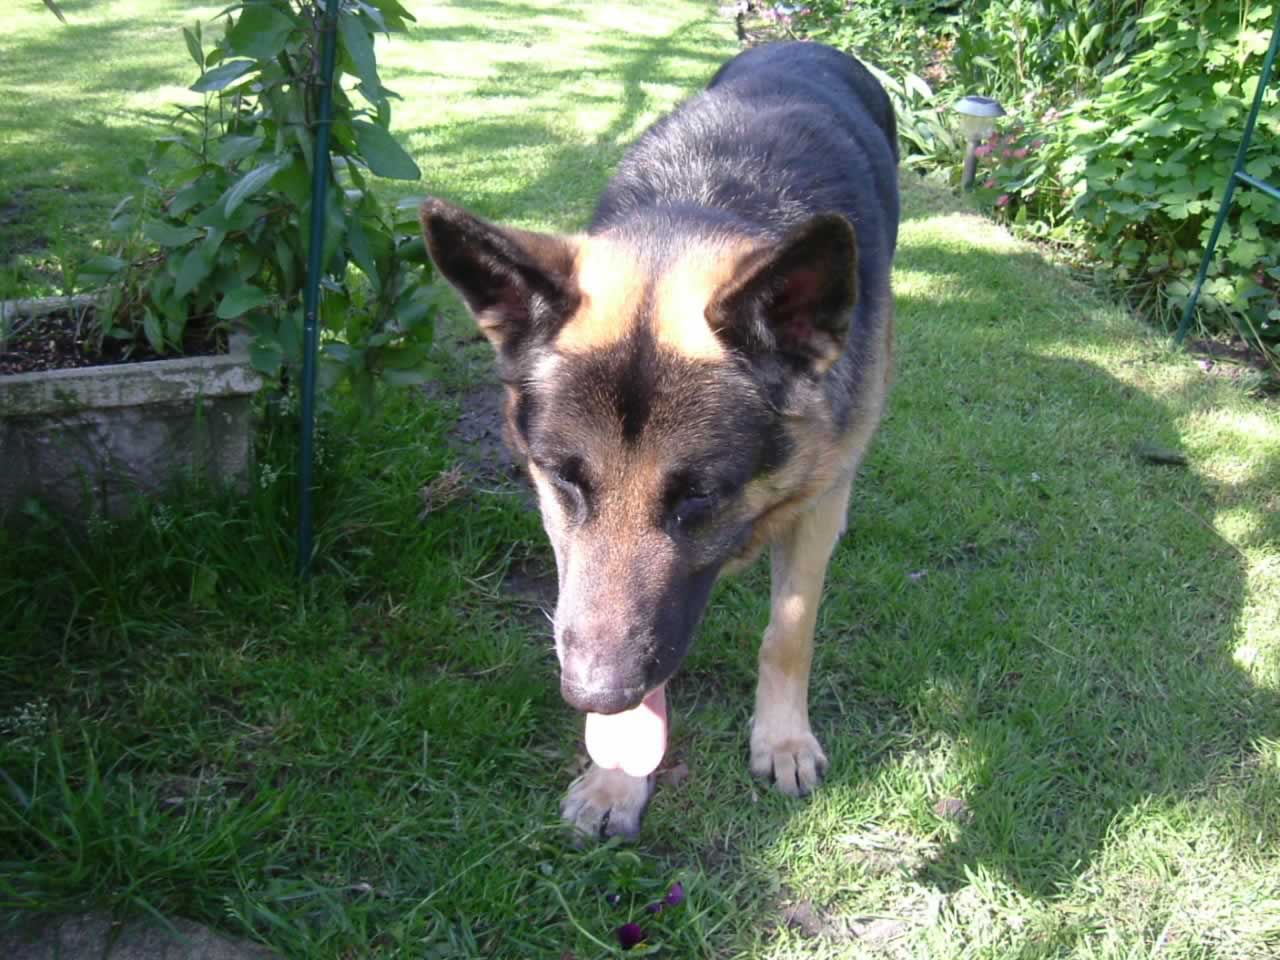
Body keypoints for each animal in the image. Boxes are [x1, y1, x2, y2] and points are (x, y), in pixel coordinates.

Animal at [419, 41, 899, 838]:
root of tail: (805, 42)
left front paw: (783, 739)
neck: (705, 205)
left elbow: (789, 631)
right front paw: (617, 778)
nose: (593, 694)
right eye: (565, 480)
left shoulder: (817, 501)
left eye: (700, 496)